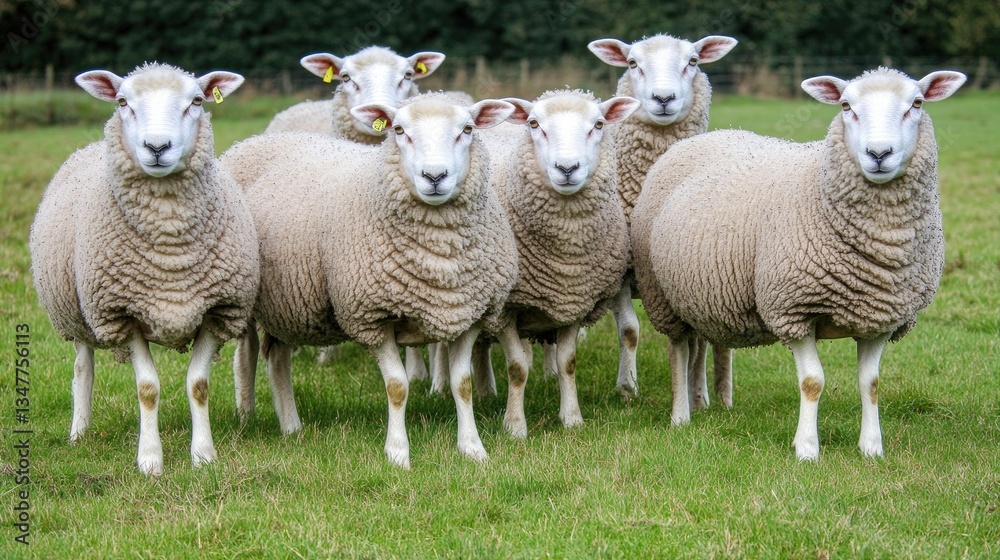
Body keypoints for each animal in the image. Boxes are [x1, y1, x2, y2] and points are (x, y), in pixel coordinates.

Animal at [29, 63, 258, 475]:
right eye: (123, 102)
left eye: (196, 101)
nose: (157, 147)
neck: (170, 252)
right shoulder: (121, 313)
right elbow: (147, 388)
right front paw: (150, 460)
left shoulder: (218, 310)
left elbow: (198, 384)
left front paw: (203, 456)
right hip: (77, 312)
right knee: (83, 368)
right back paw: (79, 431)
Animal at [222, 94, 518, 468]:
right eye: (399, 130)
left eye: (467, 129)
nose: (434, 176)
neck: (439, 259)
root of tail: (251, 140)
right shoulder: (372, 316)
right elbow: (398, 386)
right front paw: (398, 453)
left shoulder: (469, 314)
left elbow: (461, 383)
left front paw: (473, 449)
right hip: (246, 293)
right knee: (245, 356)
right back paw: (245, 415)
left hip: (288, 301)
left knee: (278, 359)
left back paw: (291, 426)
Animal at [481, 90, 639, 437]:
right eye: (534, 124)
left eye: (599, 124)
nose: (567, 168)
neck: (564, 259)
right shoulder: (505, 310)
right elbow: (517, 367)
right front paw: (514, 426)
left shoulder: (575, 303)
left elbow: (568, 362)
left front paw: (572, 419)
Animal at [588, 33, 739, 406]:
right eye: (632, 63)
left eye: (693, 61)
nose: (664, 99)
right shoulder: (621, 270)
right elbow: (629, 331)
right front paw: (627, 388)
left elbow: (699, 340)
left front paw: (697, 394)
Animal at [630, 67, 966, 460]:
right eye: (846, 106)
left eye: (917, 103)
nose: (879, 153)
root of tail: (708, 135)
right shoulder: (792, 309)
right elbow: (812, 382)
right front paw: (806, 449)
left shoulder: (881, 316)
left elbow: (870, 383)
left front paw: (871, 448)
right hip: (661, 294)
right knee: (679, 350)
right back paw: (681, 416)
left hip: (698, 296)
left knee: (697, 343)